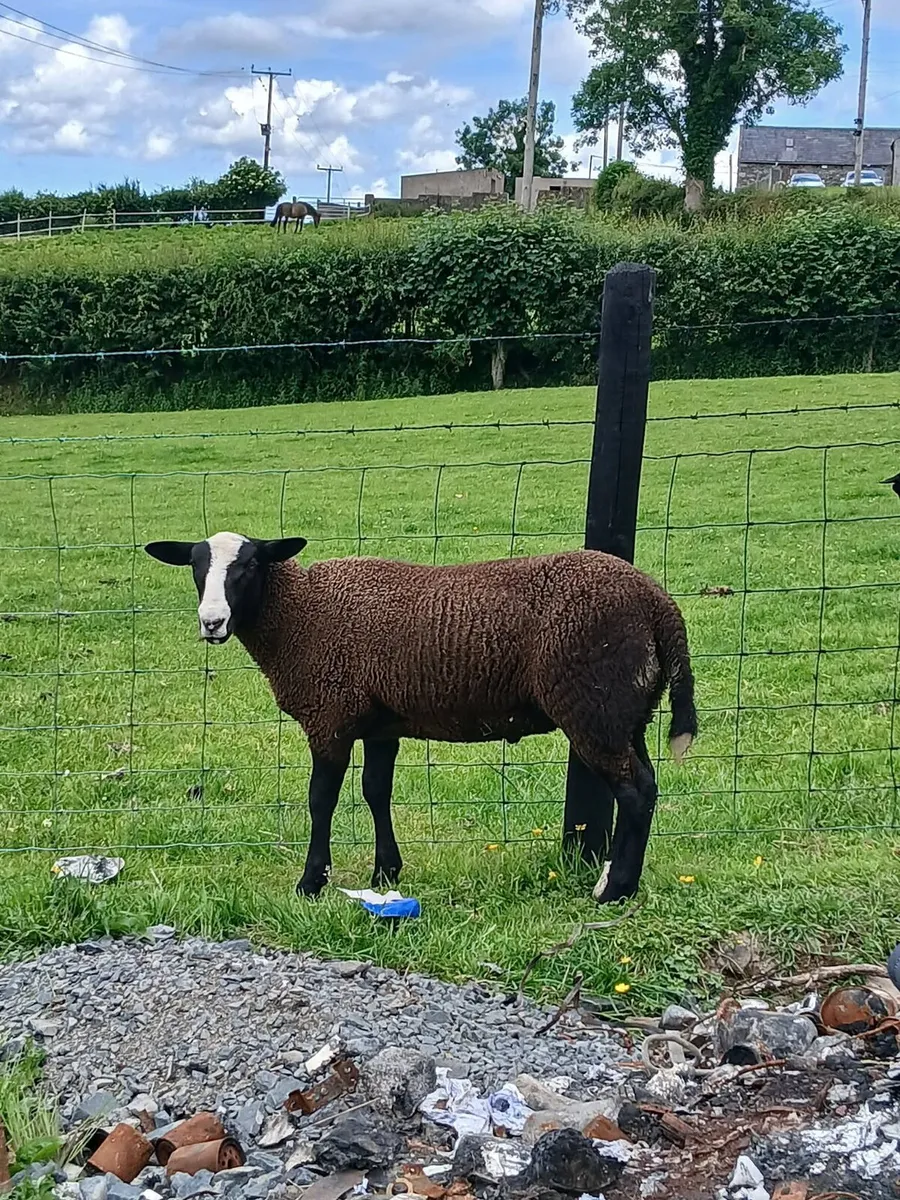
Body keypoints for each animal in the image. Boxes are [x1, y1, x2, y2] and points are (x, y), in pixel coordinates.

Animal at [144, 532, 697, 904]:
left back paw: (615, 891)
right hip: (626, 711)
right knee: (646, 786)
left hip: (593, 704)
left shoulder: (330, 715)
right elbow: (376, 792)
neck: (301, 615)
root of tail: (658, 603)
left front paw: (311, 882)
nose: (212, 622)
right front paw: (386, 874)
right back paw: (619, 881)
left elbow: (321, 801)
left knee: (634, 792)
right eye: (195, 566)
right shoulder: (379, 724)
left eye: (252, 564)